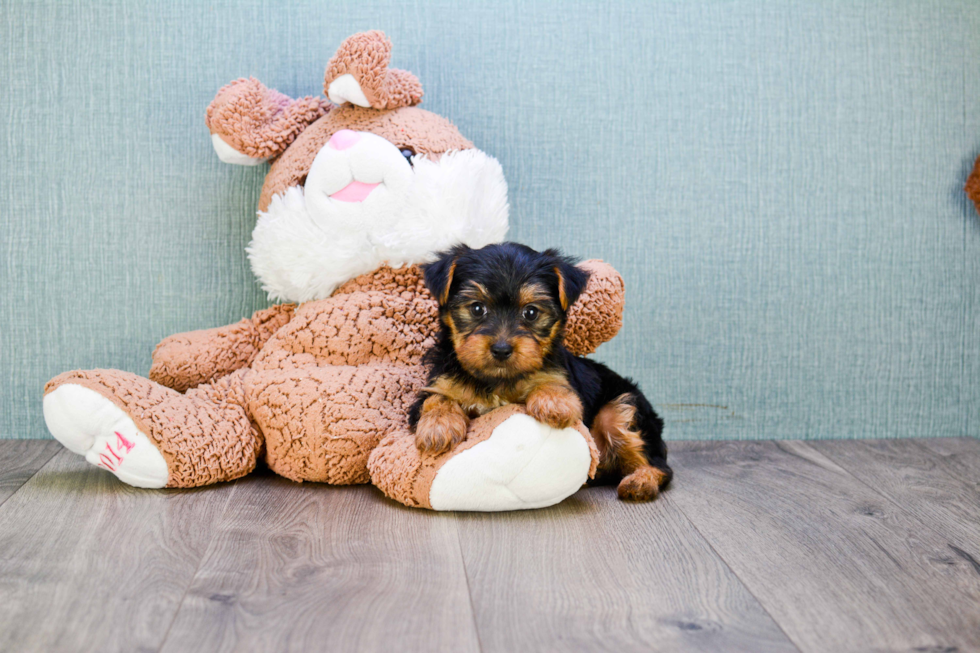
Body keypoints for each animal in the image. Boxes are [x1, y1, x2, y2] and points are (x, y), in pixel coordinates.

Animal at [408, 242, 672, 502]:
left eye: (531, 312)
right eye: (476, 308)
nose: (501, 349)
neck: (499, 379)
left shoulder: (558, 373)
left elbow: (551, 381)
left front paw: (555, 403)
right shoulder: (439, 381)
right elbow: (437, 398)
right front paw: (438, 427)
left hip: (622, 410)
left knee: (660, 465)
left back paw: (641, 482)